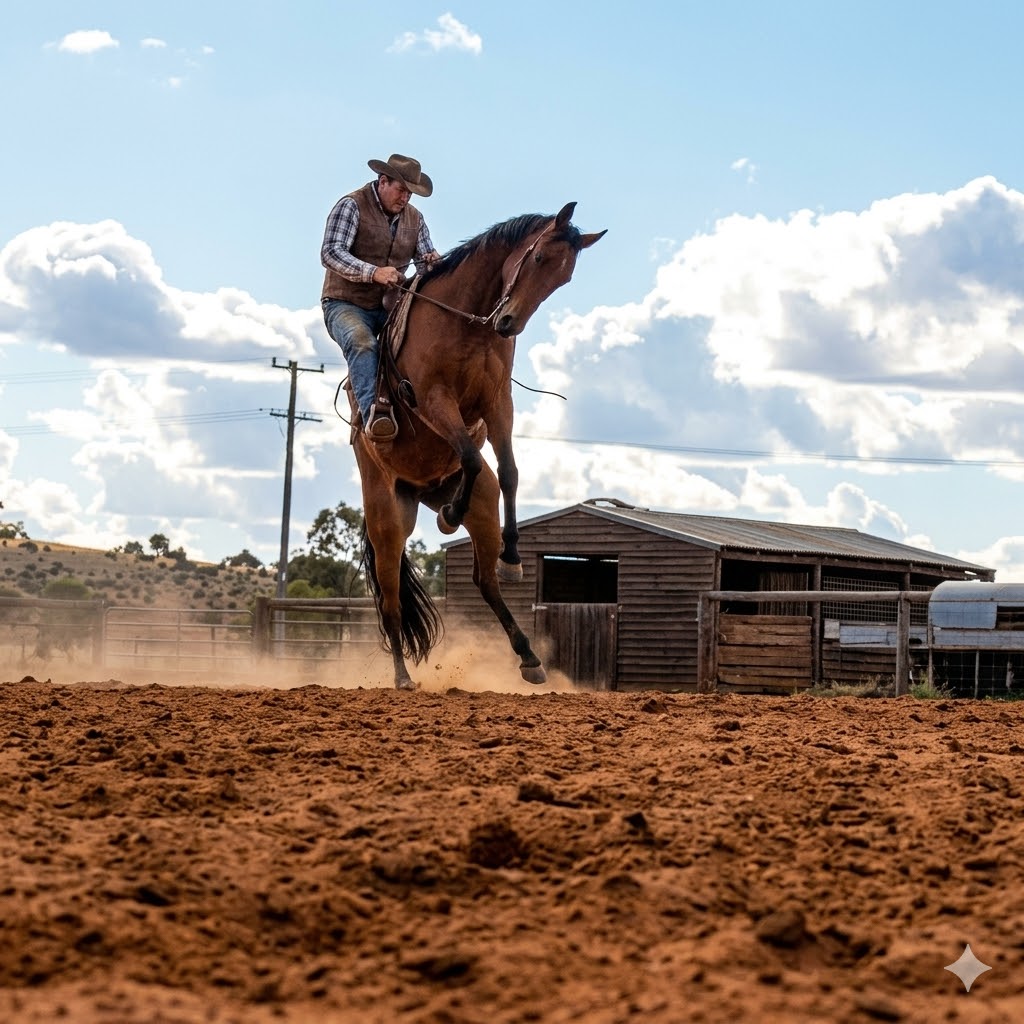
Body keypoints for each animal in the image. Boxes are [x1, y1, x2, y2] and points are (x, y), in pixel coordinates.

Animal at [352, 201, 606, 690]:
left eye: (563, 278)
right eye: (538, 257)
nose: (507, 324)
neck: (463, 321)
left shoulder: (498, 401)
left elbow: (508, 470)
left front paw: (513, 556)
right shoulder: (433, 399)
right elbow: (470, 455)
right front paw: (451, 517)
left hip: (481, 511)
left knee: (485, 581)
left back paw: (528, 656)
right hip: (386, 518)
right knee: (391, 600)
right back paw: (402, 676)